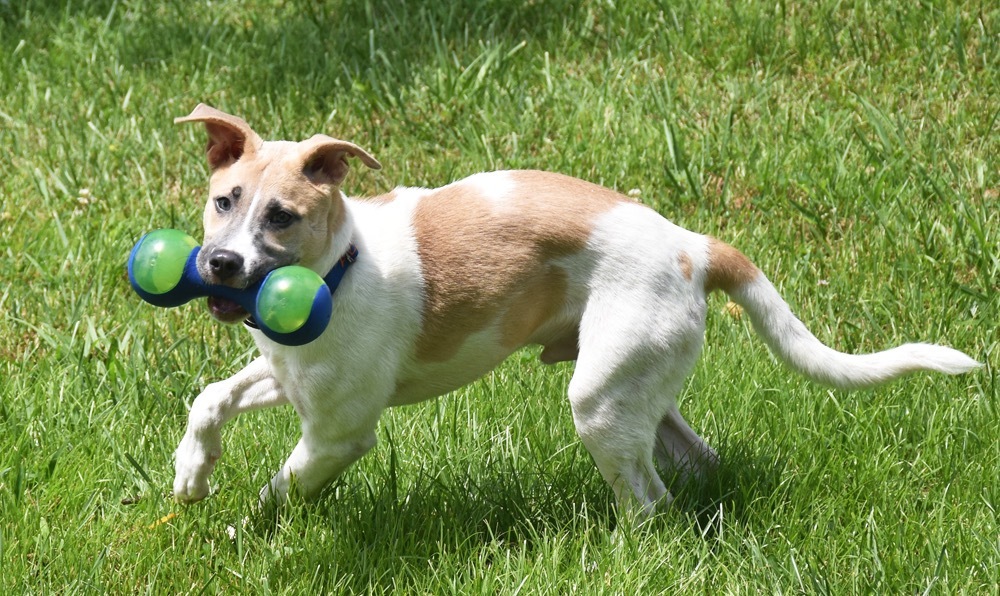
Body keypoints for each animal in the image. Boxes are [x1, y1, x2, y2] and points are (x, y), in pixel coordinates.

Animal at [166, 103, 976, 516]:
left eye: (282, 217)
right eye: (224, 201)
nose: (220, 266)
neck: (341, 268)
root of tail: (696, 245)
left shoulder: (338, 432)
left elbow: (283, 486)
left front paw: (246, 529)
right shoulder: (288, 375)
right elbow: (209, 399)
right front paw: (192, 476)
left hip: (600, 398)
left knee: (649, 501)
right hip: (637, 382)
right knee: (694, 460)